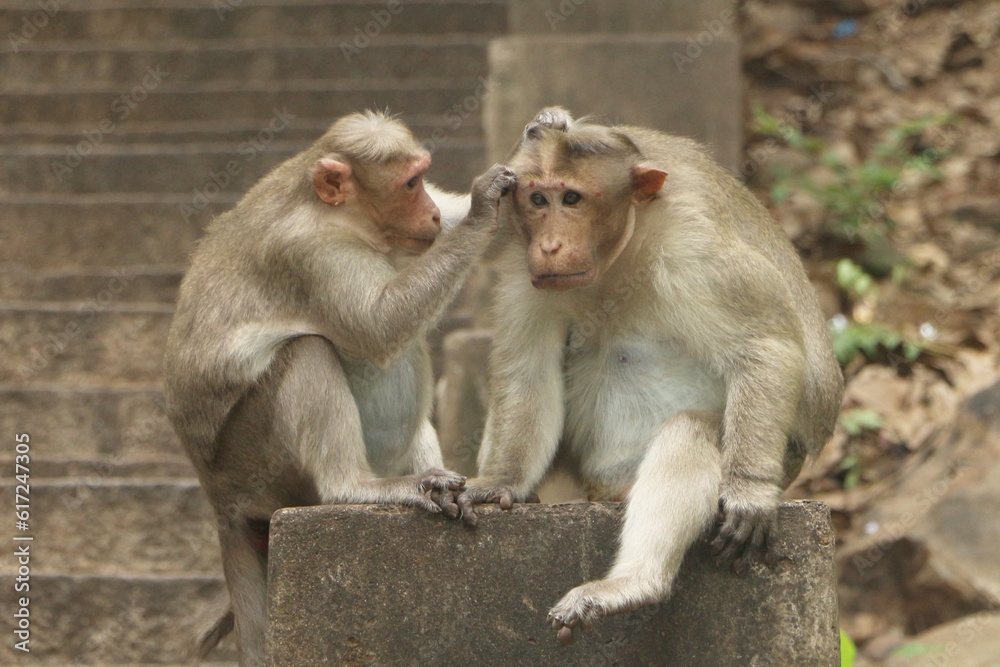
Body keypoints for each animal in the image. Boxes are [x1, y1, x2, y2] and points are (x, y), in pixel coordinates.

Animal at [163, 112, 516, 664]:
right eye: (410, 183)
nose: (433, 213)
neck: (336, 217)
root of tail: (215, 493)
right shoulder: (312, 255)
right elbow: (377, 327)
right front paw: (482, 211)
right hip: (256, 466)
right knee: (310, 350)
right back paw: (357, 488)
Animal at [458, 107, 840, 644]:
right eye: (537, 199)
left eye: (571, 199)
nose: (550, 245)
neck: (617, 259)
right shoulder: (525, 273)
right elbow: (526, 373)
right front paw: (501, 482)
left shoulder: (695, 251)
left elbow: (765, 348)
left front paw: (749, 492)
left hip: (784, 454)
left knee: (693, 430)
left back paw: (635, 583)